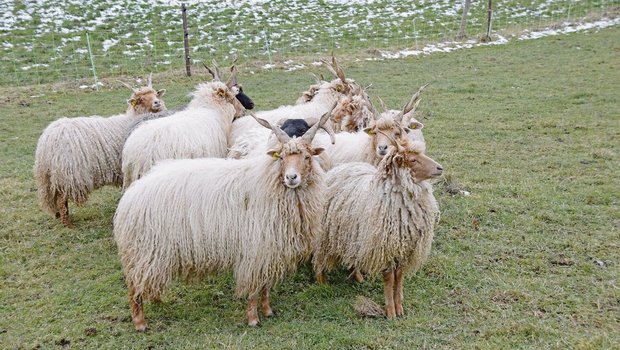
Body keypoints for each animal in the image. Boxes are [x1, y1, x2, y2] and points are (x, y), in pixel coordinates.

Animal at [34, 76, 167, 228]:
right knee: (62, 199)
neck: (132, 118)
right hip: (69, 174)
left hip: (53, 176)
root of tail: (46, 140)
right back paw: (69, 225)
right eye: (141, 99)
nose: (157, 103)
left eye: (155, 94)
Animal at [114, 110, 332, 330]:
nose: (291, 177)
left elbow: (265, 285)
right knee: (135, 285)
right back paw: (140, 321)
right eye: (282, 158)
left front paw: (268, 310)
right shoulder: (256, 250)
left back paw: (157, 300)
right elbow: (255, 287)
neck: (268, 182)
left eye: (307, 156)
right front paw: (253, 318)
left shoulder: (268, 250)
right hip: (146, 250)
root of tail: (132, 194)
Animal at [312, 137, 444, 320]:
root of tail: (337, 169)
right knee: (320, 256)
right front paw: (390, 312)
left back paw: (357, 276)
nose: (440, 168)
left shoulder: (404, 249)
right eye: (412, 160)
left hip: (353, 234)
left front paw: (399, 308)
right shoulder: (385, 248)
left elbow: (399, 277)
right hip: (326, 234)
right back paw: (322, 282)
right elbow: (389, 279)